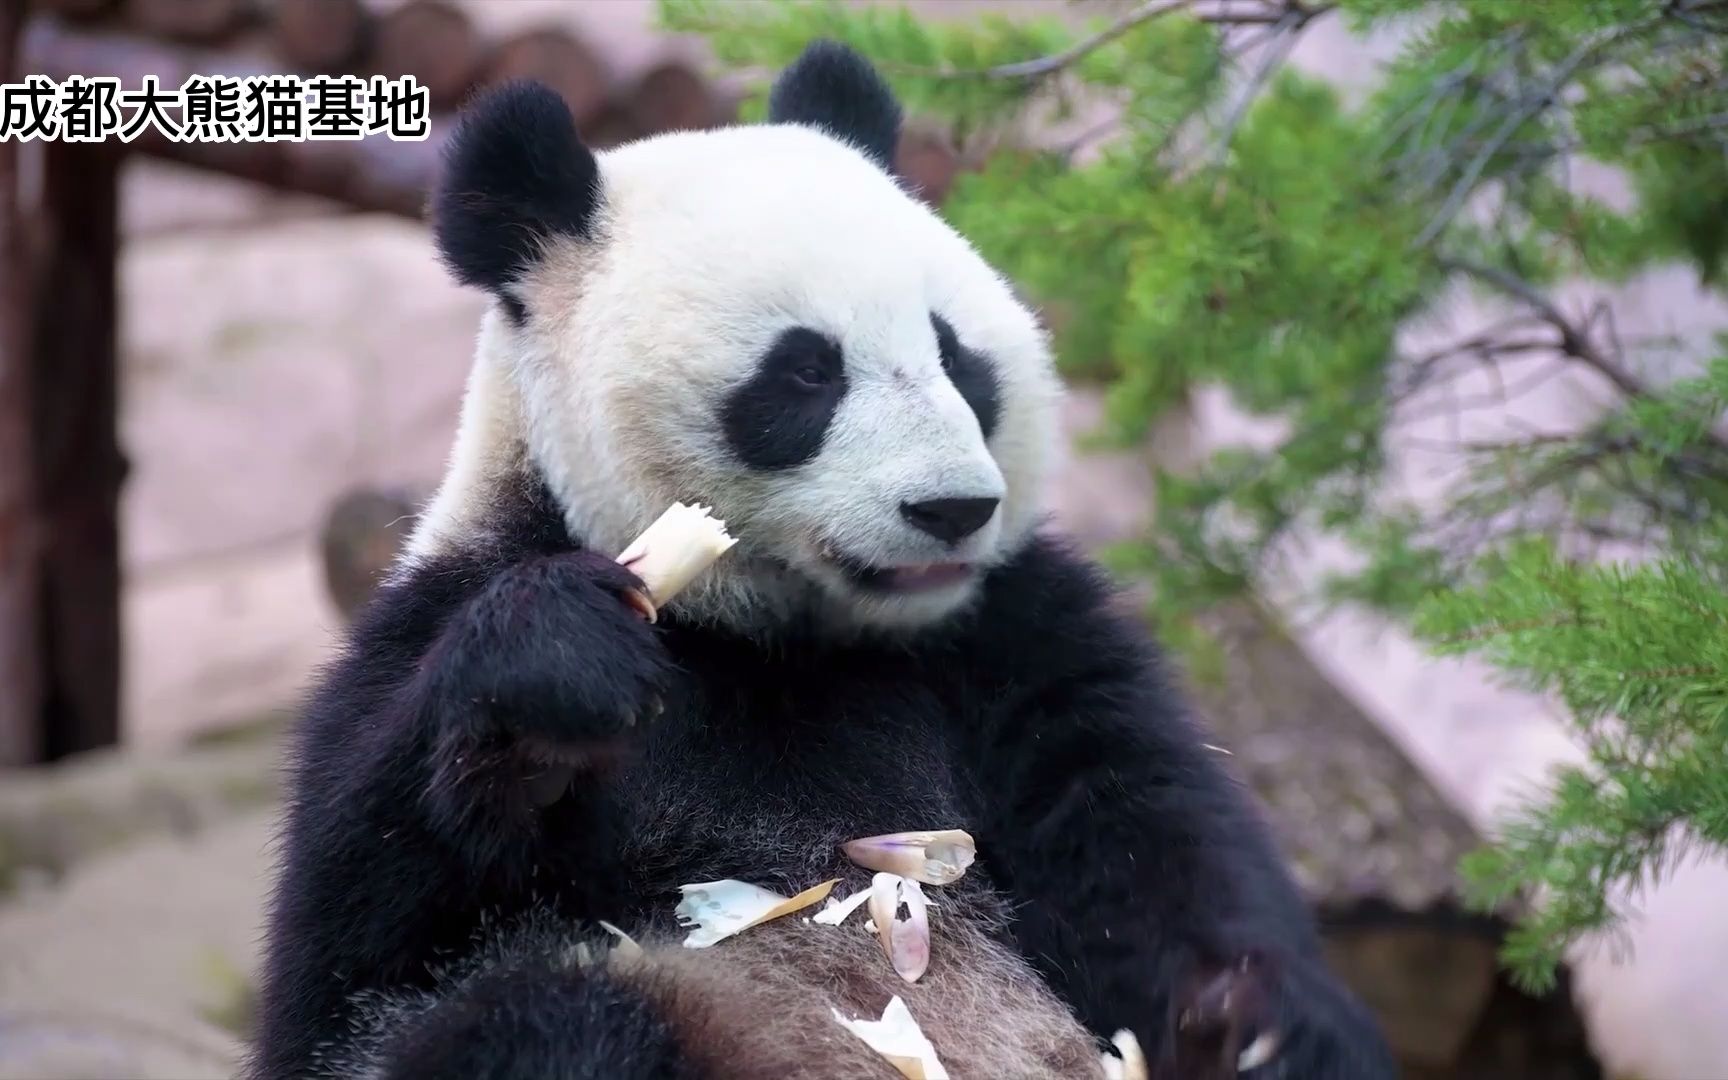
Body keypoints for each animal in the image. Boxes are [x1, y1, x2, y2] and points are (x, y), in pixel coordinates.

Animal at [250, 39, 1396, 1078]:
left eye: (957, 357)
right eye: (807, 372)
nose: (954, 509)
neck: (777, 635)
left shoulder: (1013, 638)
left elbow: (1144, 831)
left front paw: (1251, 1028)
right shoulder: (427, 620)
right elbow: (354, 962)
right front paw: (561, 665)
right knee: (542, 1017)